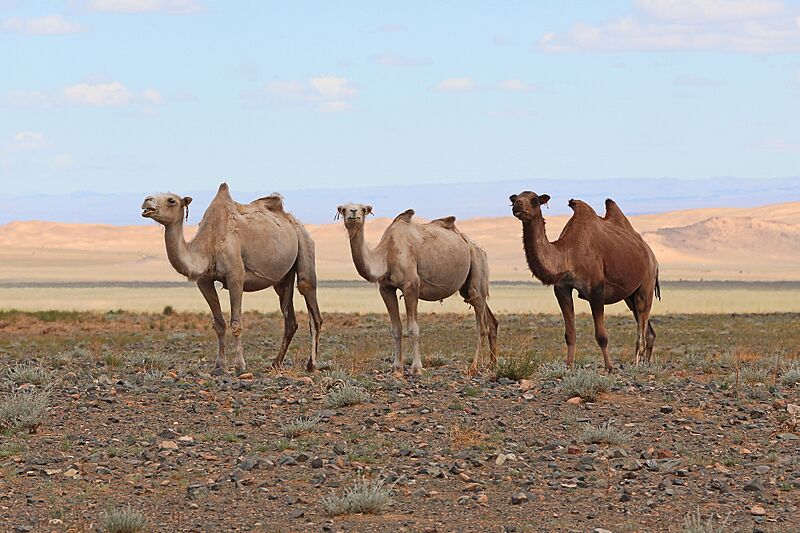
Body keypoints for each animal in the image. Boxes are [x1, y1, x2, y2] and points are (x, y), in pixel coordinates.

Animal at [141, 183, 322, 375]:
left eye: (171, 200)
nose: (146, 201)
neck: (209, 244)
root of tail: (291, 220)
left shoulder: (235, 277)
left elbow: (236, 324)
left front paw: (240, 366)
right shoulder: (204, 281)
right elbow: (219, 324)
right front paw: (219, 366)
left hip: (305, 243)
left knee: (309, 296)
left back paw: (311, 364)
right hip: (282, 278)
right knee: (290, 319)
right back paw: (276, 363)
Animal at [336, 204, 498, 376]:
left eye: (363, 209)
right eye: (343, 209)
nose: (353, 212)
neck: (387, 254)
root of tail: (479, 249)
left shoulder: (411, 286)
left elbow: (413, 328)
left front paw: (416, 367)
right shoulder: (386, 288)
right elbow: (396, 329)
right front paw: (397, 368)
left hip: (477, 267)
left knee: (481, 325)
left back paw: (474, 367)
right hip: (467, 287)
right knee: (490, 320)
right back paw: (492, 364)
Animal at [509, 192, 660, 371]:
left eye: (534, 200)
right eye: (515, 198)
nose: (517, 205)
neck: (568, 255)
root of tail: (652, 255)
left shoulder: (596, 289)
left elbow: (601, 335)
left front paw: (609, 367)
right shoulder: (562, 288)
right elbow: (570, 334)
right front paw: (568, 365)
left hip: (646, 284)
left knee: (642, 326)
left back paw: (637, 364)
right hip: (629, 295)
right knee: (648, 330)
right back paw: (646, 363)